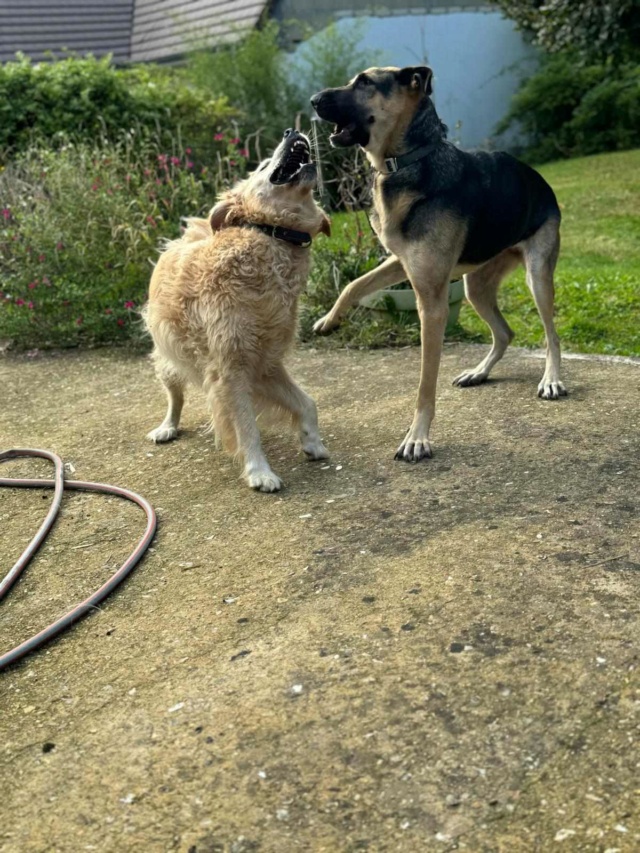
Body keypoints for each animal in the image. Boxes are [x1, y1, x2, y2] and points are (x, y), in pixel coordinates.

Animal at [310, 68, 564, 460]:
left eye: (365, 82)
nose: (313, 101)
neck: (410, 159)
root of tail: (540, 179)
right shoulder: (402, 264)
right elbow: (354, 285)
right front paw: (329, 320)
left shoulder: (431, 304)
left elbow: (424, 384)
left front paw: (417, 437)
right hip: (476, 287)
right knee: (505, 332)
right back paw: (479, 372)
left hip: (536, 277)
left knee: (552, 334)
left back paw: (552, 379)